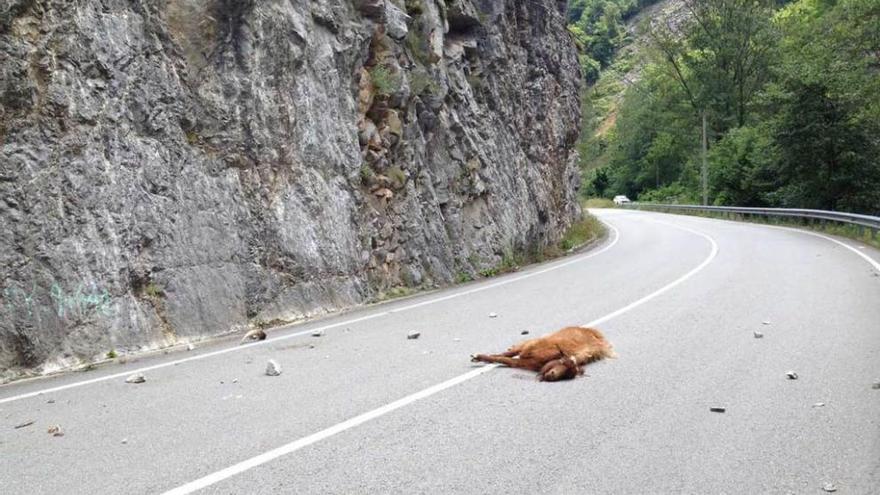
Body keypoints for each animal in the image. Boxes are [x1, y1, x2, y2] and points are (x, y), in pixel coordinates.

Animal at [470, 328, 616, 382]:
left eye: (568, 375)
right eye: (563, 363)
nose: (552, 375)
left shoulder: (521, 362)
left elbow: (504, 359)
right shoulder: (526, 348)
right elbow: (504, 355)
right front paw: (477, 357)